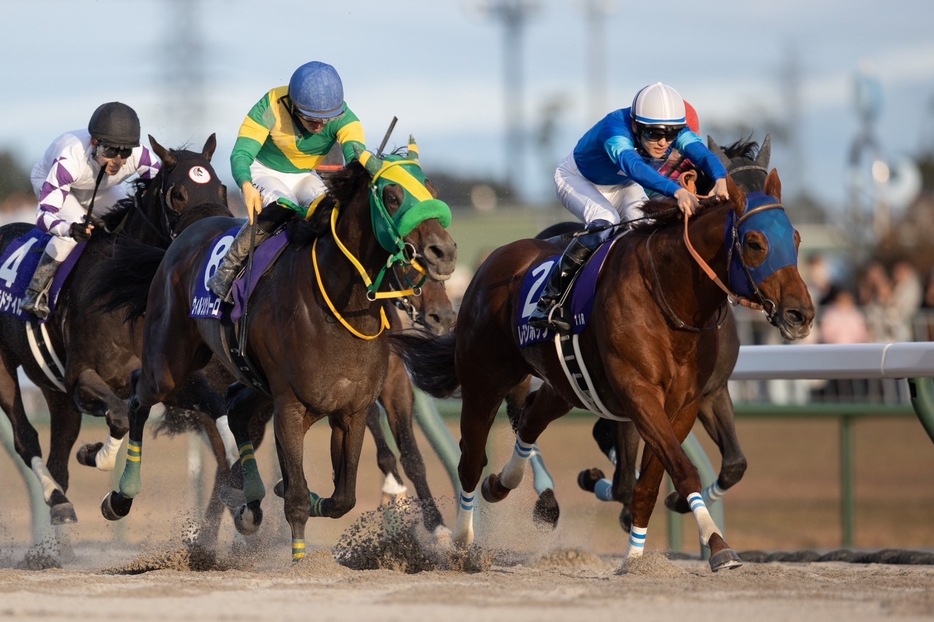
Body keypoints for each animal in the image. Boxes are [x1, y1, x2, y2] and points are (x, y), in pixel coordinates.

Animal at [98, 144, 458, 564]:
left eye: (431, 188)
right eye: (392, 196)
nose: (444, 253)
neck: (338, 303)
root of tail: (185, 235)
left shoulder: (353, 406)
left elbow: (345, 496)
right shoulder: (291, 404)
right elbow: (299, 495)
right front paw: (297, 555)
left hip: (249, 381)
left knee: (235, 410)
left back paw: (249, 502)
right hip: (172, 362)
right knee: (141, 396)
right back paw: (121, 498)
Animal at [394, 173, 812, 572]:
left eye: (795, 238)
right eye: (755, 242)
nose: (801, 314)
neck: (669, 296)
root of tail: (495, 259)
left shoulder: (687, 403)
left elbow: (650, 482)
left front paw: (637, 558)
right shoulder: (639, 394)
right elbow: (681, 470)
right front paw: (718, 546)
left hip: (564, 385)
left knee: (530, 419)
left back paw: (504, 484)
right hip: (484, 380)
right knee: (470, 459)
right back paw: (462, 544)